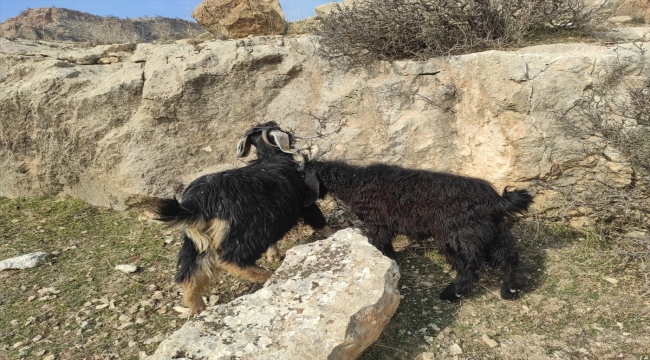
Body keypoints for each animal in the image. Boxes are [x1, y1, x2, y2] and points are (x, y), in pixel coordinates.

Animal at [155, 122, 330, 314]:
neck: (270, 156)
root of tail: (197, 204)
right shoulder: (303, 203)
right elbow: (318, 219)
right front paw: (332, 234)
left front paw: (273, 255)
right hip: (247, 230)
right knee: (232, 260)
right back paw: (267, 276)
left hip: (196, 242)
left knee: (189, 274)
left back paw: (199, 309)